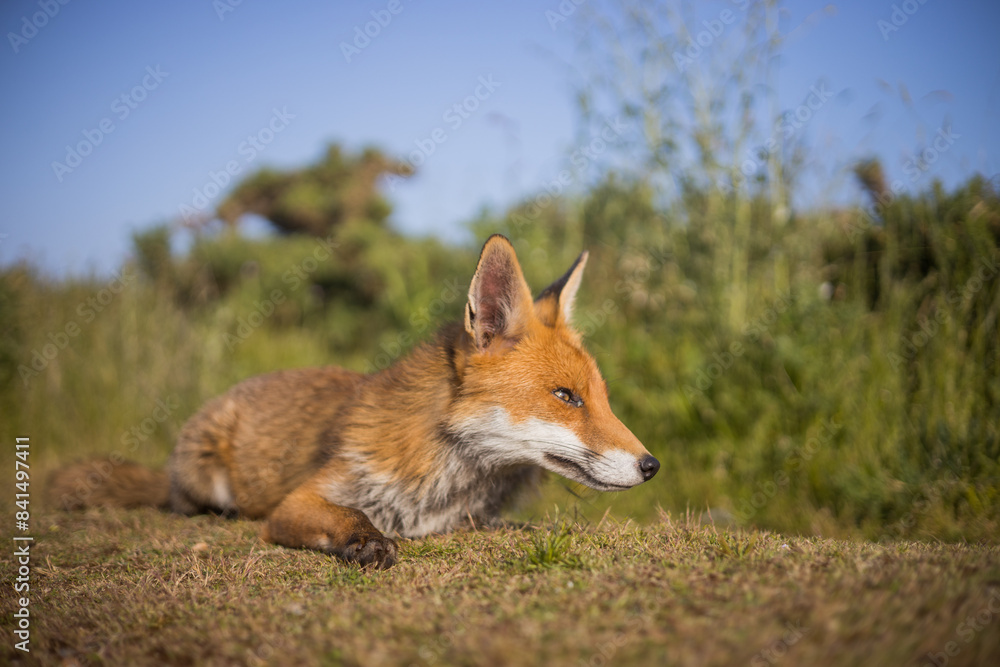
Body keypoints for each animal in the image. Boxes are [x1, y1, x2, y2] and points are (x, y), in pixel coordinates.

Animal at [50, 234, 659, 569]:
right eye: (565, 397)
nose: (651, 465)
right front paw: (365, 541)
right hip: (205, 480)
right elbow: (349, 515)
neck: (450, 472)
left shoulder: (470, 518)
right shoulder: (300, 500)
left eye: (600, 398)